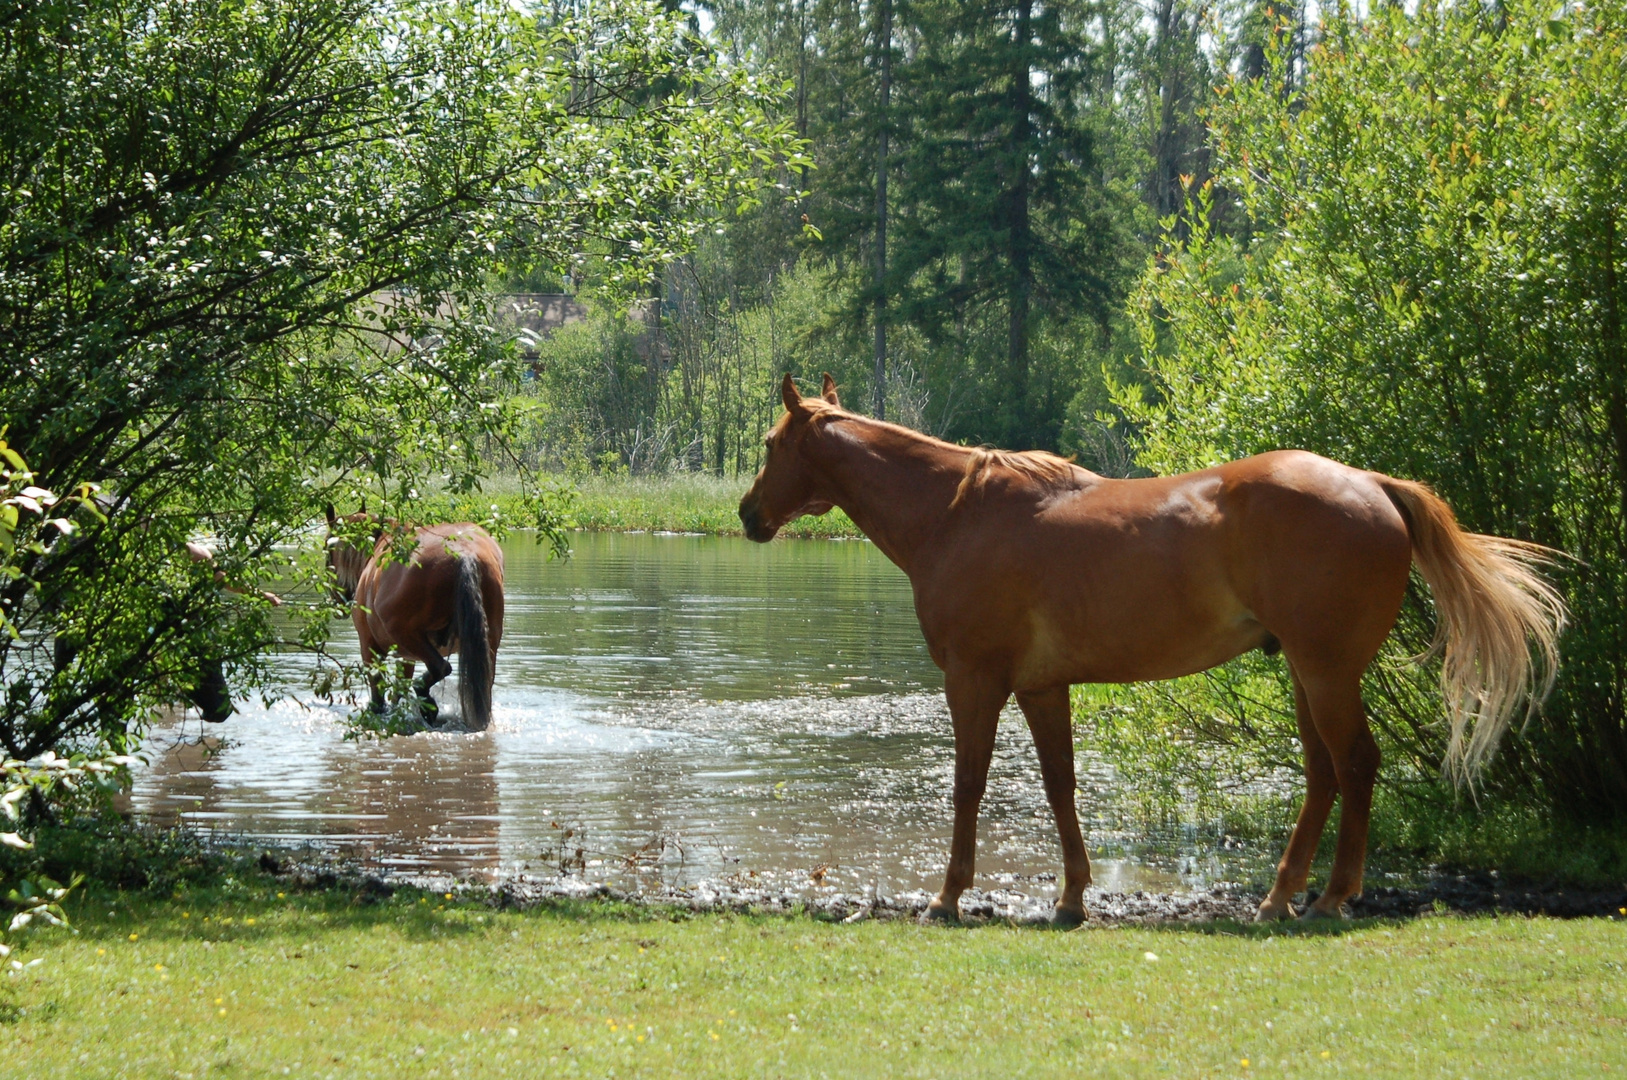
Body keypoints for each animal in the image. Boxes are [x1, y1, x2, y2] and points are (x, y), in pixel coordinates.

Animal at [327, 507, 504, 728]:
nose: (337, 600)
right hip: (486, 645)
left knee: (440, 667)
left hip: (407, 636)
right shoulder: (407, 656)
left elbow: (378, 690)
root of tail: (463, 552)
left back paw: (426, 702)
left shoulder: (369, 646)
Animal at [738, 375, 1561, 923]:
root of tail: (1371, 484)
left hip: (1325, 671)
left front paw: (948, 895)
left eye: (772, 444)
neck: (956, 513)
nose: (747, 513)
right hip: (1307, 672)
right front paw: (1072, 896)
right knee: (1325, 774)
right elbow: (1059, 785)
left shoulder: (974, 679)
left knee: (1354, 765)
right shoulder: (1041, 687)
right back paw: (1281, 896)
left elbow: (968, 784)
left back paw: (1328, 897)